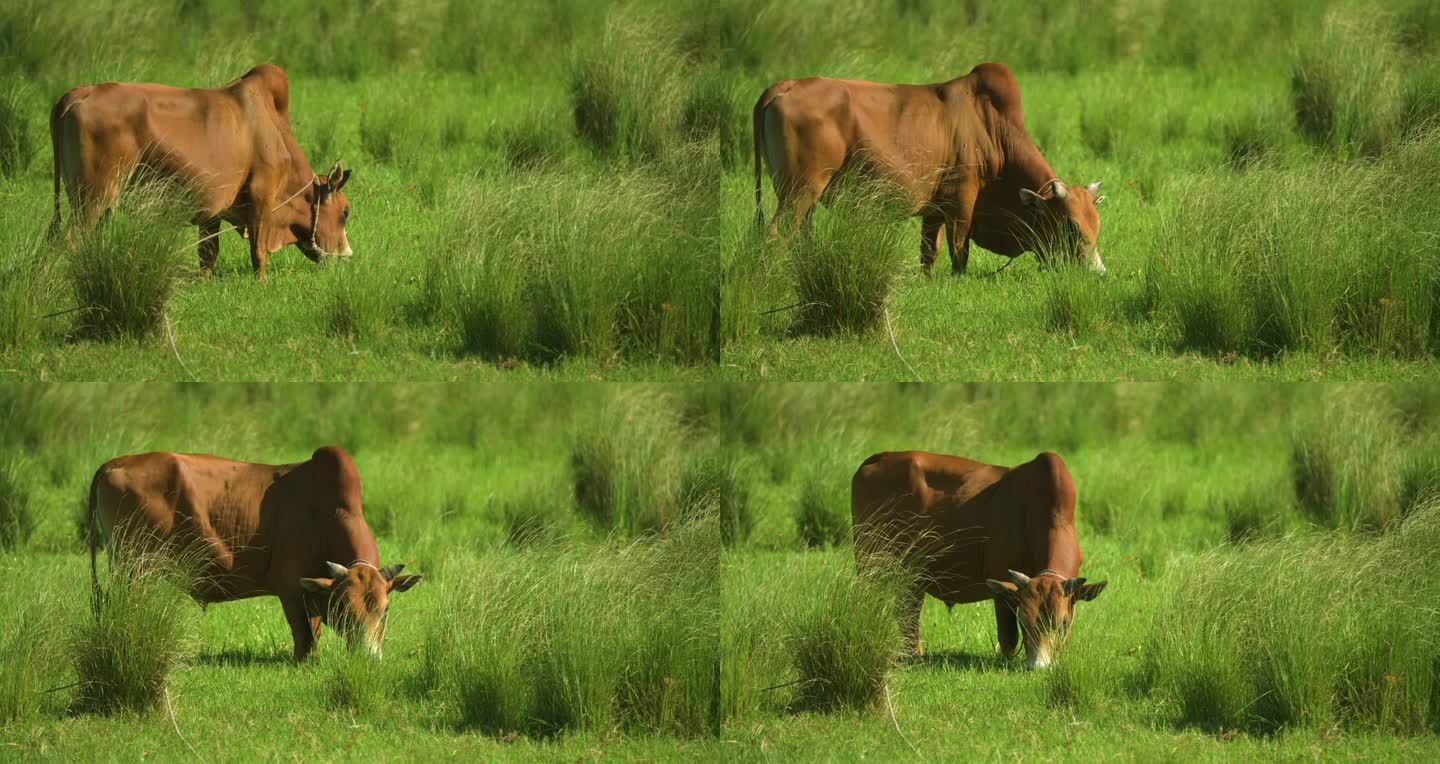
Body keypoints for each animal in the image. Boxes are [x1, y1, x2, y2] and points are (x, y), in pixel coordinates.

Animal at [52, 62, 355, 277]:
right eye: (345, 212)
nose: (347, 255)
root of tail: (80, 93)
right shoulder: (262, 195)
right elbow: (258, 252)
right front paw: (262, 283)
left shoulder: (213, 211)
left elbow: (208, 255)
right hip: (92, 198)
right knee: (70, 241)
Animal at [87, 446, 420, 661]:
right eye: (344, 609)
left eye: (385, 610)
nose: (367, 657)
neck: (326, 514)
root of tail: (116, 462)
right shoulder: (290, 589)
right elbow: (304, 636)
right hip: (131, 567)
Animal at [754, 63, 1100, 274]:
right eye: (1071, 226)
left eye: (1096, 224)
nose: (1098, 272)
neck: (992, 128)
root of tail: (783, 86)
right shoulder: (962, 202)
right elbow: (959, 253)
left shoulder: (934, 209)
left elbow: (928, 254)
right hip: (799, 193)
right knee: (773, 236)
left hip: (805, 199)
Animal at [846, 448, 1105, 670]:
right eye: (1024, 621)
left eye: (1062, 623)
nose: (1037, 666)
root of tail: (876, 459)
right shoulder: (1002, 589)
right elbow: (1009, 639)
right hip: (869, 563)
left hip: (909, 576)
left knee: (907, 612)